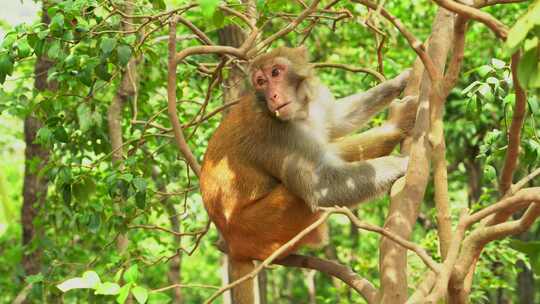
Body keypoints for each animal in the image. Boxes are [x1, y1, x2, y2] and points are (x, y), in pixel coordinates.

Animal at [200, 46, 416, 302]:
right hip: (261, 228)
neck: (301, 112)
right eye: (261, 82)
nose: (273, 96)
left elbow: (336, 120)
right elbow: (321, 189)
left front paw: (400, 81)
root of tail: (231, 243)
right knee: (300, 177)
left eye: (275, 72)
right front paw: (402, 163)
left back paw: (396, 126)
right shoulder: (277, 134)